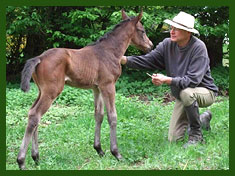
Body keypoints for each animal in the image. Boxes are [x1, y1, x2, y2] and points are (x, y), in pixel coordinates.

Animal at [16, 9, 152, 169]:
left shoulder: (97, 88)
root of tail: (39, 58)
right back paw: (21, 161)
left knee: (33, 114)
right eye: (142, 31)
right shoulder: (108, 85)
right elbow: (112, 116)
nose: (150, 45)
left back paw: (36, 157)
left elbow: (99, 115)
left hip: (42, 91)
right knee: (35, 115)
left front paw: (99, 149)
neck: (109, 51)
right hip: (51, 92)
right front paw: (116, 153)